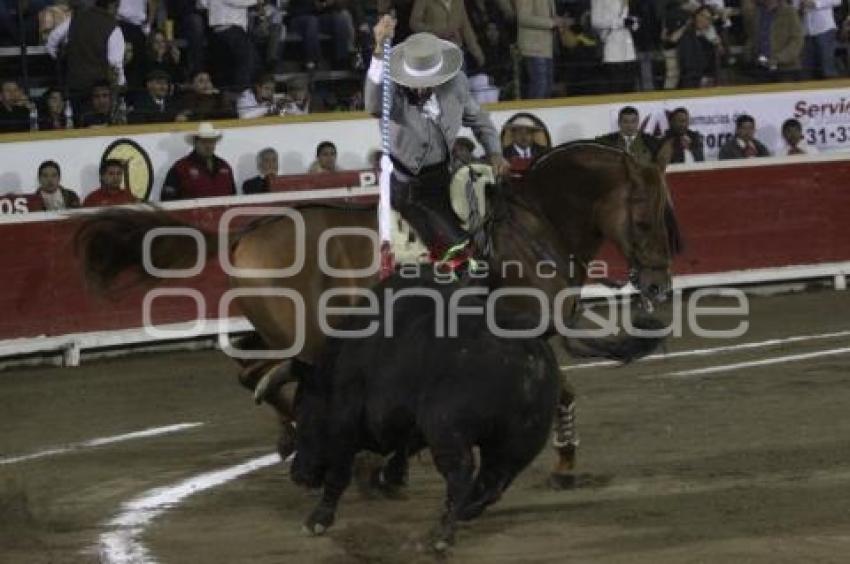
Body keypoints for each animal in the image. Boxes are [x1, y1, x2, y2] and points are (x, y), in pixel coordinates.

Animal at [76, 143, 680, 486]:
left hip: (279, 332)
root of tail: (247, 231)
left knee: (254, 375)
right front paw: (562, 462)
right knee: (277, 381)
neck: (534, 224)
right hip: (303, 336)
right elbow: (559, 392)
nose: (657, 285)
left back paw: (306, 444)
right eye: (645, 220)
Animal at [288, 276, 560, 548]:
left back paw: (443, 535)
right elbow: (402, 448)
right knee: (493, 482)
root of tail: (524, 344)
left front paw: (318, 520)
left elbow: (338, 472)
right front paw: (387, 476)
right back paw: (460, 513)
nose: (296, 474)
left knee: (461, 476)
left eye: (300, 414)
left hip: (446, 431)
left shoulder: (344, 421)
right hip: (518, 444)